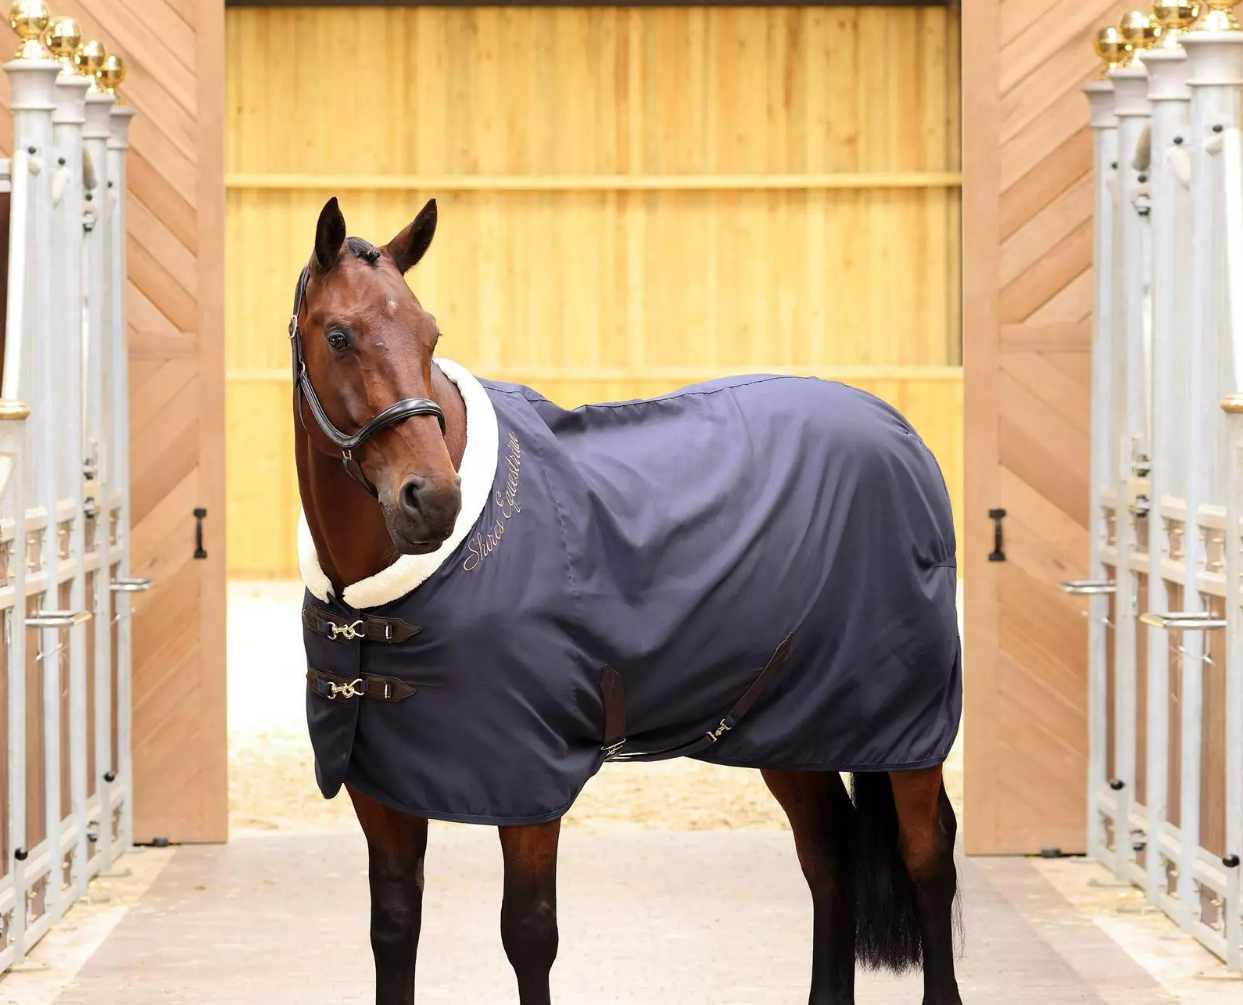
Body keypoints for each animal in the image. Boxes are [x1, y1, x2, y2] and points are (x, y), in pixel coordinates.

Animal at [290, 195, 964, 1005]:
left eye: (430, 334)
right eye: (339, 335)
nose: (433, 499)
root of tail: (903, 437)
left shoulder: (528, 782)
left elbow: (529, 933)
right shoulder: (379, 785)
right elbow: (394, 929)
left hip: (906, 734)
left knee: (927, 857)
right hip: (791, 729)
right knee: (827, 851)